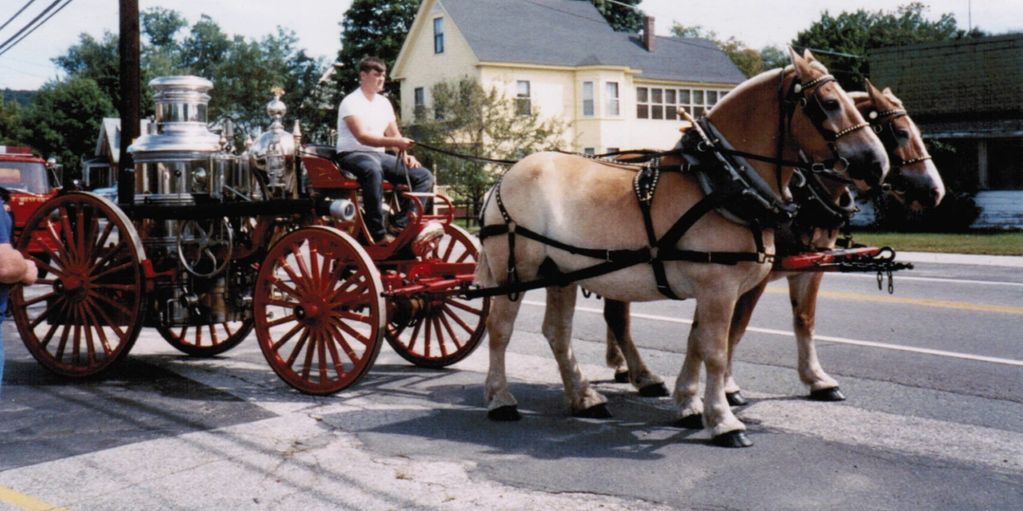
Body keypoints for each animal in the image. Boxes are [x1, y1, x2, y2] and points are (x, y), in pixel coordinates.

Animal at [470, 48, 887, 447]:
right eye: (829, 103)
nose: (877, 164)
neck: (721, 184)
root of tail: (505, 176)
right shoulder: (719, 288)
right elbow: (716, 352)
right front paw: (723, 421)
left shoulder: (716, 288)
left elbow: (698, 343)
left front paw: (689, 404)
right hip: (514, 271)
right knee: (500, 329)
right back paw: (501, 399)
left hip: (560, 274)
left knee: (557, 333)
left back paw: (584, 398)